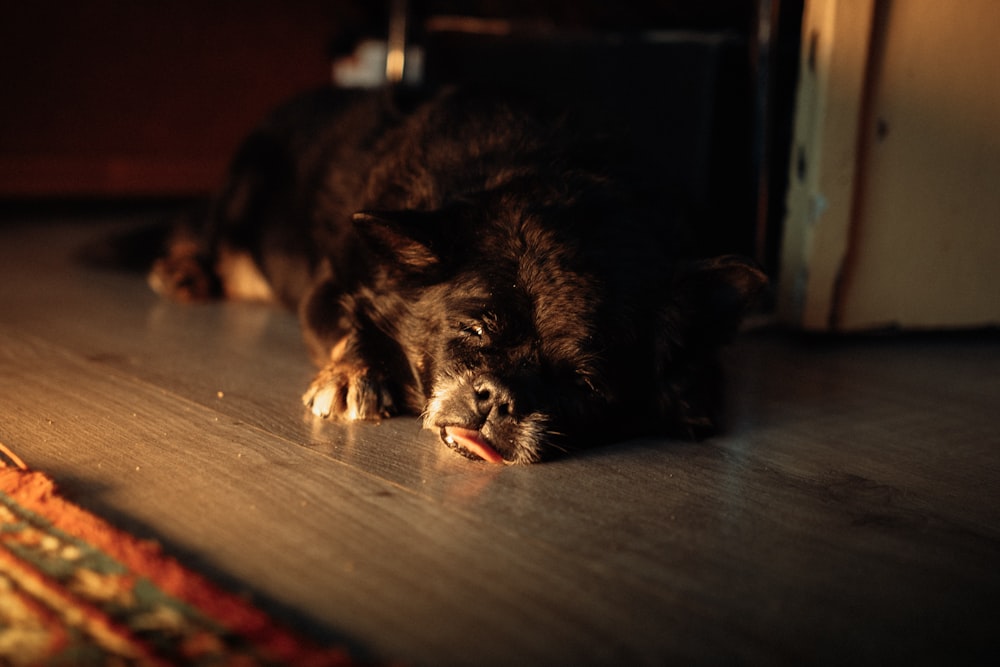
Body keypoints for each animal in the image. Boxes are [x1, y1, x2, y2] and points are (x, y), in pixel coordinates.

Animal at [150, 85, 764, 464]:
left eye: (587, 383)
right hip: (240, 207)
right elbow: (351, 324)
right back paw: (181, 269)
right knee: (200, 230)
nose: (499, 398)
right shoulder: (331, 286)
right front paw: (353, 373)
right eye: (472, 331)